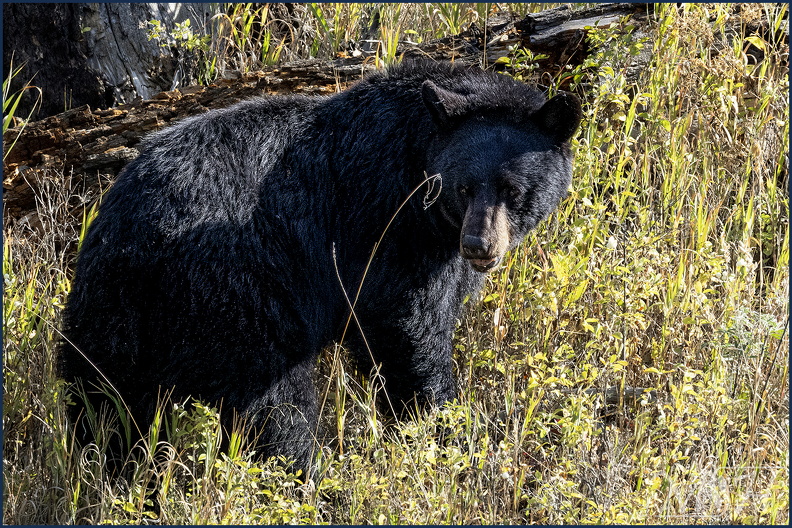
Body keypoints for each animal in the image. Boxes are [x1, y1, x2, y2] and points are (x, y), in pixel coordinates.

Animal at [60, 60, 581, 475]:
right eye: (462, 187)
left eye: (512, 189)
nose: (478, 245)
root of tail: (133, 245)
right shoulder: (385, 226)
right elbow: (407, 325)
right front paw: (447, 425)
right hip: (235, 294)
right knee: (272, 405)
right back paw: (306, 475)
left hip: (106, 320)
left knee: (104, 405)